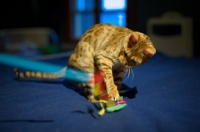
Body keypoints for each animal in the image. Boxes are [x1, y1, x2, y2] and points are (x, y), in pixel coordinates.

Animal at [15, 23, 156, 102]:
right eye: (125, 53)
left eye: (132, 60)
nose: (122, 60)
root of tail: (67, 67)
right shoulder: (103, 57)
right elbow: (109, 79)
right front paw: (112, 92)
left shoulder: (120, 71)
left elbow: (117, 82)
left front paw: (118, 94)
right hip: (88, 73)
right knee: (89, 96)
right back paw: (98, 101)